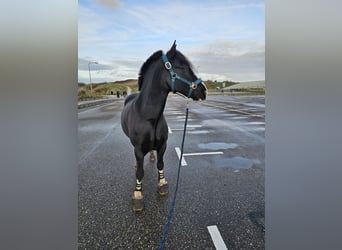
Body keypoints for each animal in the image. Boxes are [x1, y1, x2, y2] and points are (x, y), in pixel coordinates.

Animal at [121, 41, 206, 211]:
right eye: (183, 67)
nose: (204, 91)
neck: (148, 117)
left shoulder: (162, 145)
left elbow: (161, 164)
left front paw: (162, 184)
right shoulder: (138, 149)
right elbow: (140, 172)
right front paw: (138, 195)